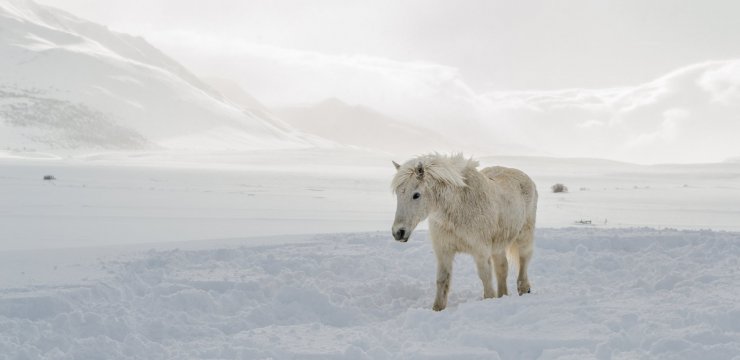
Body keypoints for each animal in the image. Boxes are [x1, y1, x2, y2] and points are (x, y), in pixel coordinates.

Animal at [394, 153, 536, 310]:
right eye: (398, 194)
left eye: (416, 195)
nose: (398, 232)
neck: (458, 207)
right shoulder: (444, 252)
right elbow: (442, 281)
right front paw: (437, 309)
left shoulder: (481, 252)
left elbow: (485, 279)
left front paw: (488, 300)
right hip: (498, 246)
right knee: (502, 268)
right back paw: (502, 296)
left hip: (524, 236)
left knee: (523, 261)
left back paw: (524, 289)